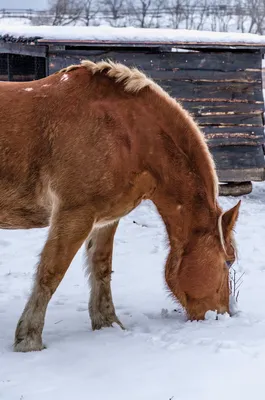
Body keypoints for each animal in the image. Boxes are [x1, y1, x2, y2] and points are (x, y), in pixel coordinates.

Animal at [0, 57, 239, 352]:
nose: (222, 315)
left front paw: (107, 324)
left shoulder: (105, 219)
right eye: (228, 262)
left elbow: (101, 267)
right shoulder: (74, 215)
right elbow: (50, 273)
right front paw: (29, 339)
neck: (125, 132)